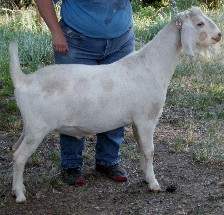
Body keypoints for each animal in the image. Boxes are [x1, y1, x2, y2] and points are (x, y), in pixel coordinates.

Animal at [8, 6, 220, 202]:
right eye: (199, 23)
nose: (218, 35)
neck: (151, 65)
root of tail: (23, 81)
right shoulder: (146, 118)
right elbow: (150, 150)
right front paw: (154, 184)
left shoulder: (137, 122)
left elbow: (141, 148)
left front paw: (145, 177)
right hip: (38, 128)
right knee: (19, 157)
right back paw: (20, 195)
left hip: (29, 127)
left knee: (14, 149)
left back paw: (19, 188)